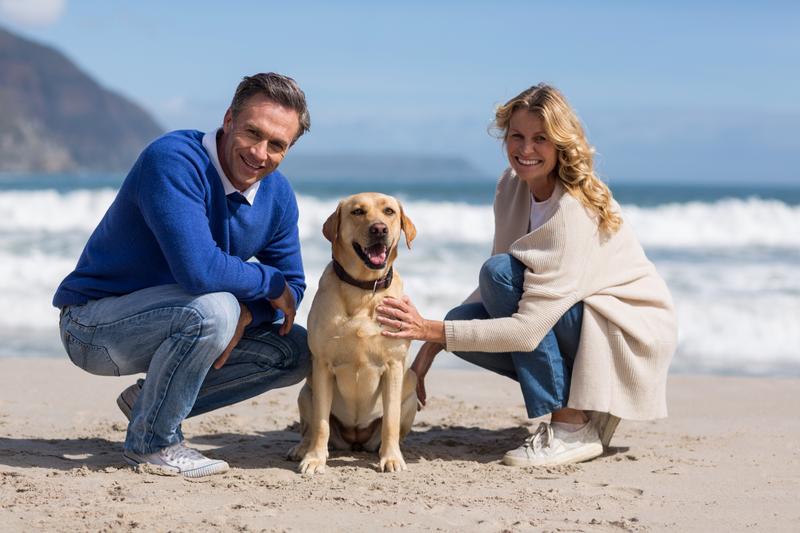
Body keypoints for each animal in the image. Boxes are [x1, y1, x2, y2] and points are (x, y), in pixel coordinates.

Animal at [288, 192, 418, 474]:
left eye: (389, 212)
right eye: (358, 212)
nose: (379, 229)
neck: (363, 288)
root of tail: (355, 441)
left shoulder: (394, 366)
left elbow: (390, 421)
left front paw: (391, 458)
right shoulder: (322, 365)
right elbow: (321, 423)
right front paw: (315, 458)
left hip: (412, 388)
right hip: (305, 392)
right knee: (309, 427)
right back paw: (302, 448)